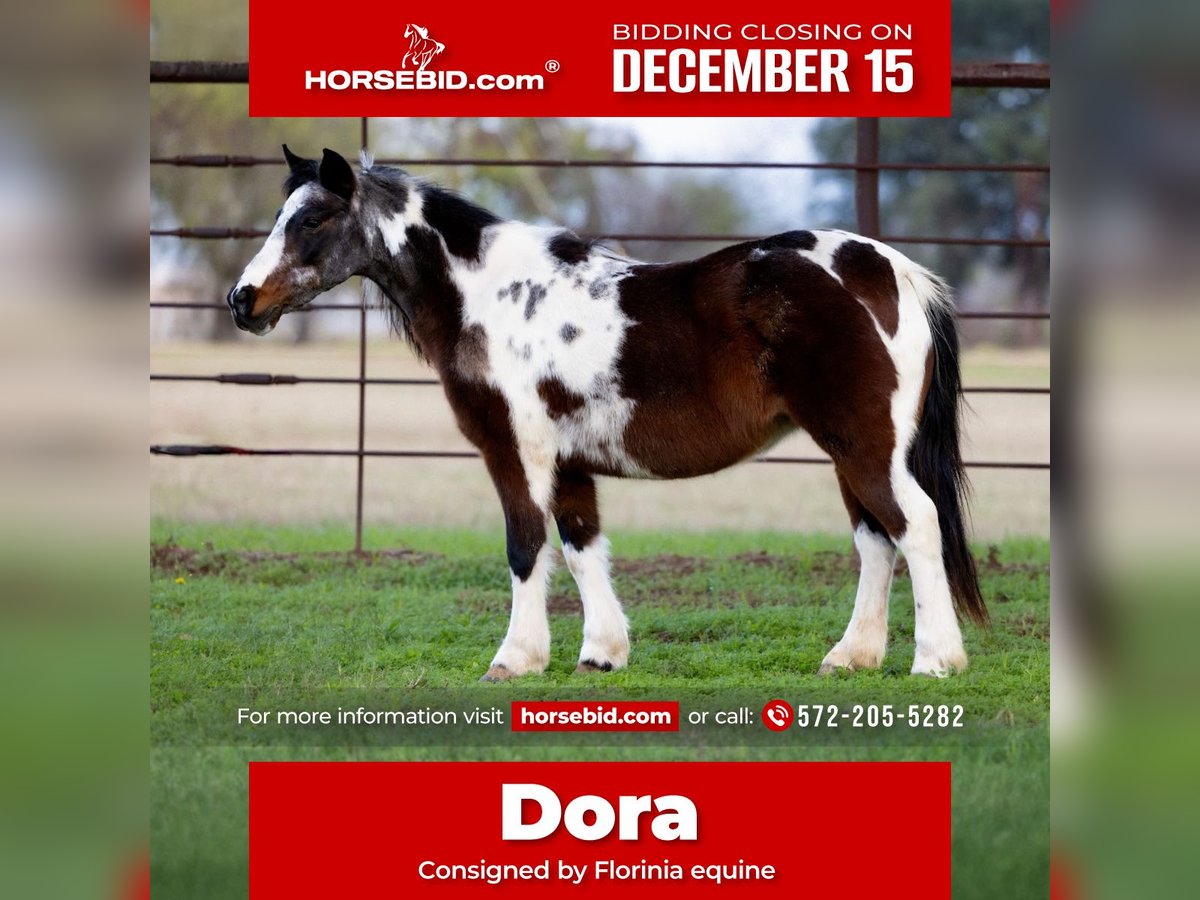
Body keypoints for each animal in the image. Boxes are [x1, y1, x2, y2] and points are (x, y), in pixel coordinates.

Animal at [227, 146, 989, 681]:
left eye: (313, 218)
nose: (242, 300)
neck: (491, 297)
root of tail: (887, 270)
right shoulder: (568, 462)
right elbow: (581, 545)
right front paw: (601, 654)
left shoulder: (515, 450)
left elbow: (526, 547)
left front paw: (515, 659)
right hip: (851, 451)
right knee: (876, 541)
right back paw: (851, 657)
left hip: (864, 445)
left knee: (914, 526)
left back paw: (935, 660)